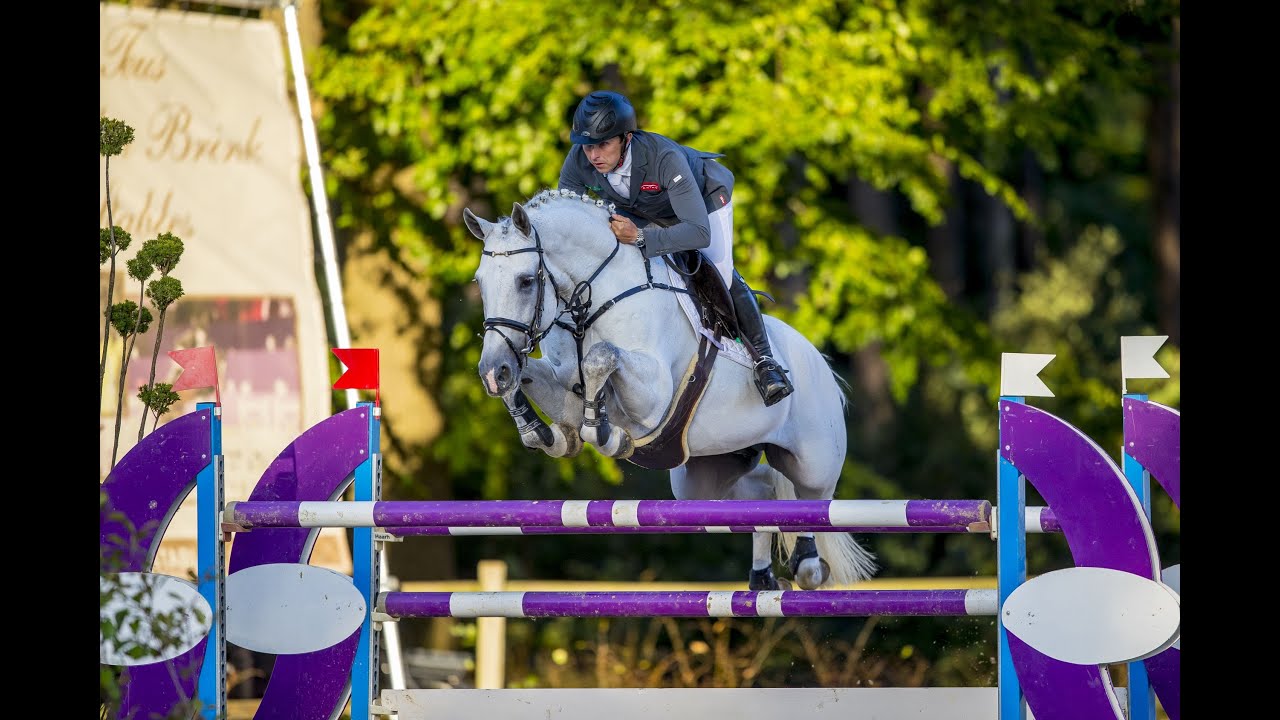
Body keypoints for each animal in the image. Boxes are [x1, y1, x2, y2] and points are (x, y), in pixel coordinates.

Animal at [464, 188, 877, 591]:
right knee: (762, 495)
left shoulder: (653, 398)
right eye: (480, 282)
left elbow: (601, 356)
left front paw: (605, 434)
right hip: (706, 477)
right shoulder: (564, 387)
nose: (492, 371)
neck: (591, 298)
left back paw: (807, 564)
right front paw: (541, 431)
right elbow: (536, 382)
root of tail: (820, 362)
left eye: (525, 281)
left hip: (813, 463)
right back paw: (763, 577)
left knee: (811, 504)